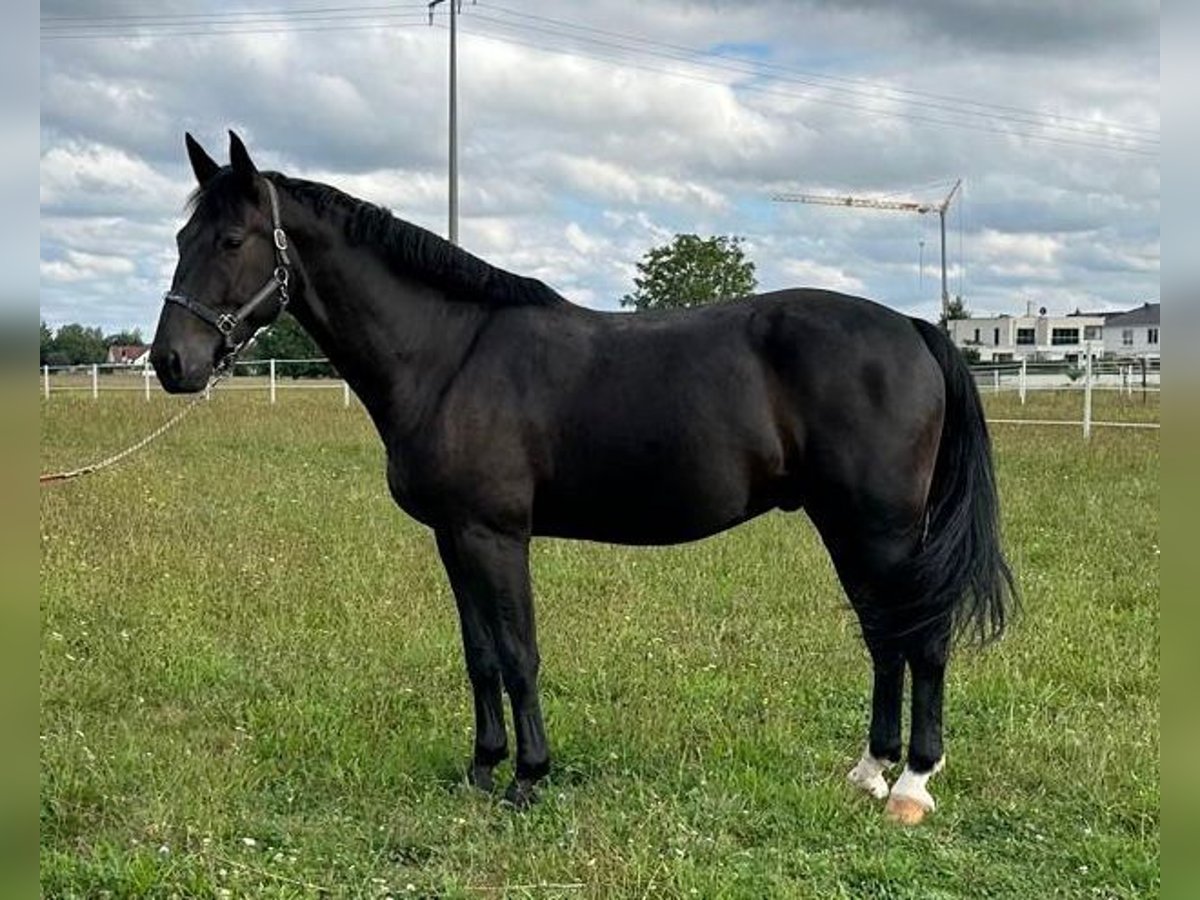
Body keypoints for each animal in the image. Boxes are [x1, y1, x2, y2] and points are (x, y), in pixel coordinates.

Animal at [147, 133, 1012, 825]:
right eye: (183, 233)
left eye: (231, 239)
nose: (171, 362)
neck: (448, 354)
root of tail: (913, 328)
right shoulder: (454, 539)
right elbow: (479, 655)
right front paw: (482, 768)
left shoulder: (496, 536)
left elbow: (519, 653)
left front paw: (529, 777)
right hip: (850, 526)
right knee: (886, 638)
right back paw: (871, 771)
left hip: (881, 527)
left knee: (922, 639)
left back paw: (913, 785)